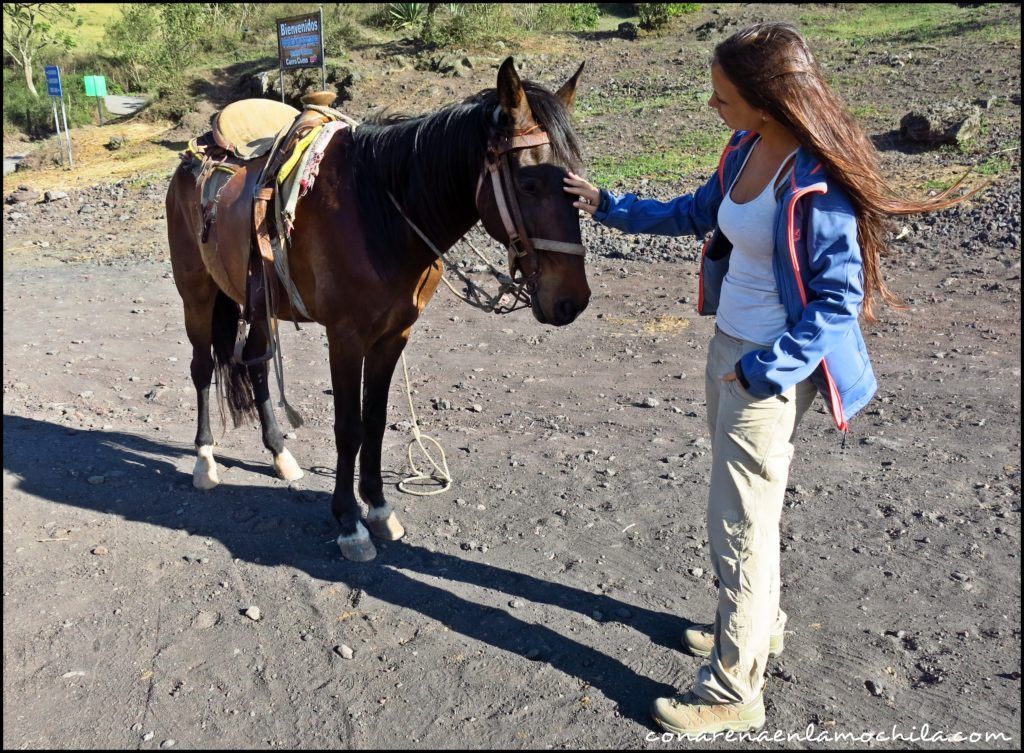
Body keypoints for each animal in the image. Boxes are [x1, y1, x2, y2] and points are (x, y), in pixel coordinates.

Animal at [167, 58, 593, 561]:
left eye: (578, 179)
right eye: (529, 183)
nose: (572, 300)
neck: (378, 212)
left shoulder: (393, 335)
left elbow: (375, 420)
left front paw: (379, 508)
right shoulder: (346, 338)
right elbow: (349, 427)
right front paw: (349, 523)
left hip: (258, 304)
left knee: (254, 365)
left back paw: (280, 454)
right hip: (196, 293)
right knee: (201, 368)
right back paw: (204, 460)